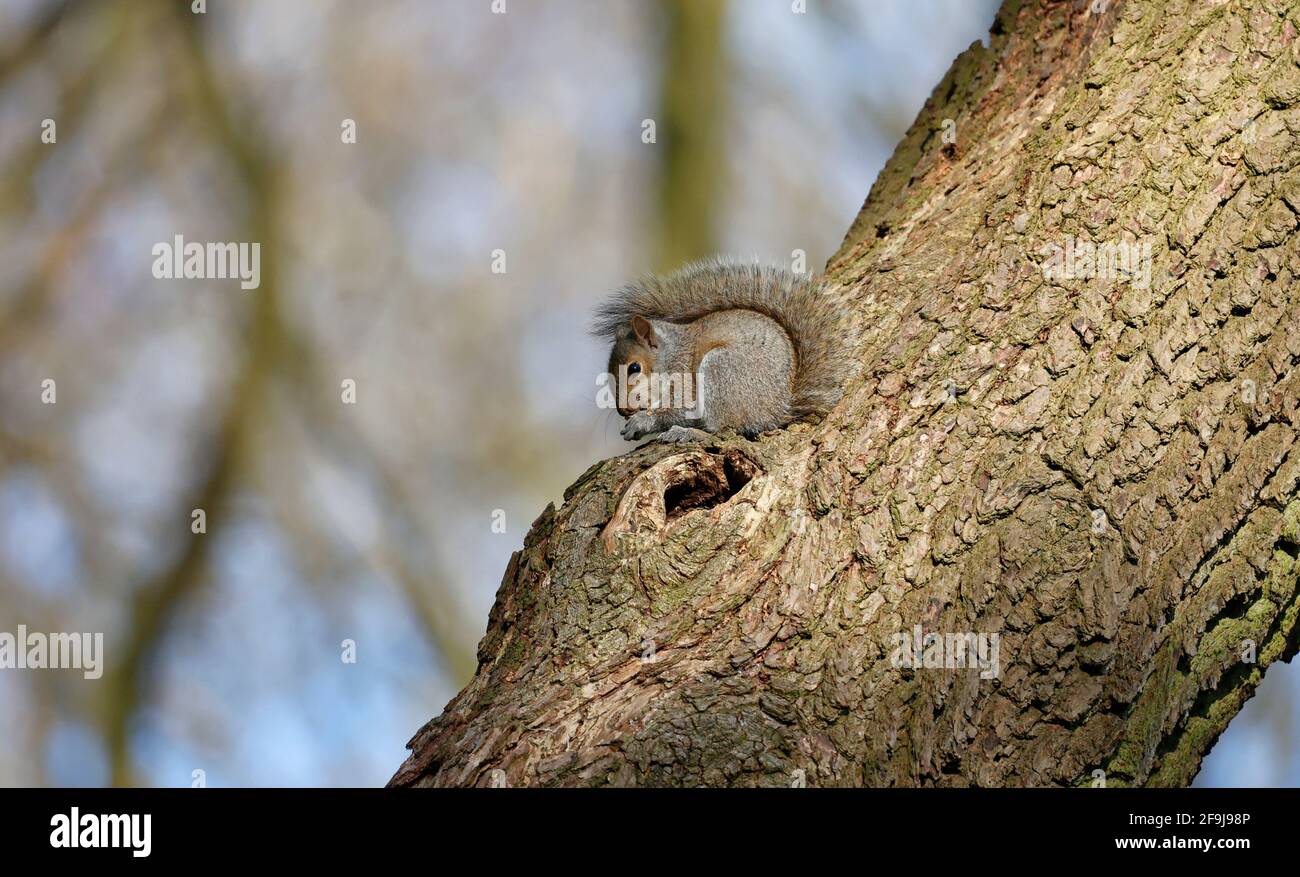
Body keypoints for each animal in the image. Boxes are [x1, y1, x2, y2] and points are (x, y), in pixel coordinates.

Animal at [593, 257, 852, 443]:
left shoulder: (684, 378)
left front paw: (642, 423)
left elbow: (682, 411)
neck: (670, 356)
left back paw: (690, 433)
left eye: (635, 368)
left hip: (720, 373)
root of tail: (778, 409)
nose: (623, 410)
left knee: (724, 430)